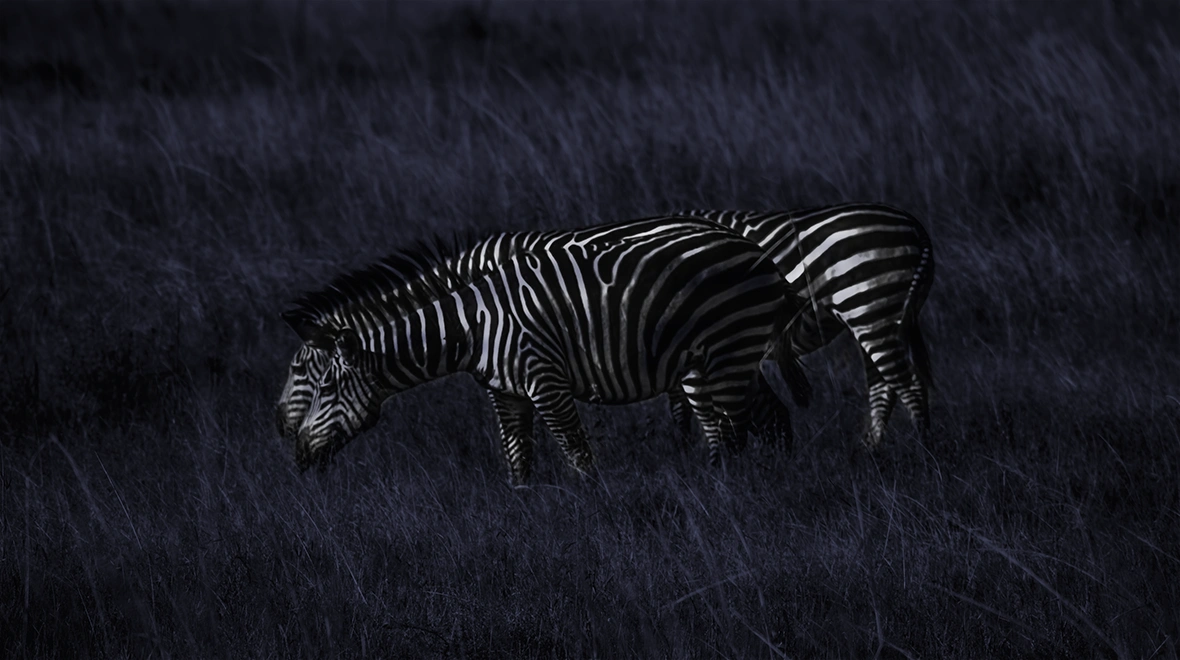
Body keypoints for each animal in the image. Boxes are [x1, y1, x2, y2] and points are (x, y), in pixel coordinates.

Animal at [278, 218, 811, 486]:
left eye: (320, 381)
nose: (294, 448)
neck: (470, 322)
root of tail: (757, 252)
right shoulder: (506, 392)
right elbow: (518, 465)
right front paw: (523, 532)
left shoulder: (546, 381)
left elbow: (580, 462)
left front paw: (598, 523)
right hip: (715, 358)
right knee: (767, 417)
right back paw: (767, 483)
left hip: (728, 348)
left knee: (742, 427)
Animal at [670, 203, 934, 448]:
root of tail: (914, 226)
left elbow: (685, 407)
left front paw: (686, 452)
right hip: (878, 319)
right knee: (884, 387)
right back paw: (873, 452)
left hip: (871, 309)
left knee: (910, 388)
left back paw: (923, 452)